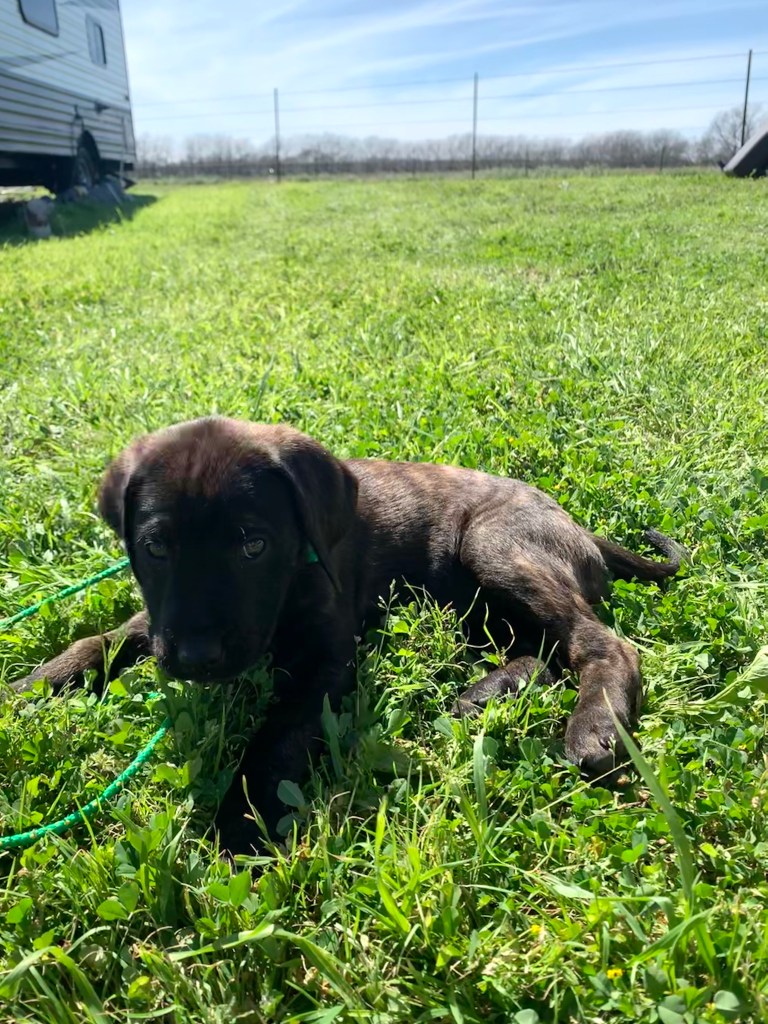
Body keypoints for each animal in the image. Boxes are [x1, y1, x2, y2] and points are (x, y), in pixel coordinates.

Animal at [14, 417, 684, 855]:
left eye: (253, 545)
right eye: (155, 548)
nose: (196, 659)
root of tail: (582, 530)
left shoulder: (326, 662)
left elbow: (274, 740)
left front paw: (238, 826)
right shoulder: (158, 620)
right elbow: (104, 640)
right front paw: (34, 686)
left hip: (493, 544)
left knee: (597, 642)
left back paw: (593, 724)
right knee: (539, 652)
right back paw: (485, 693)